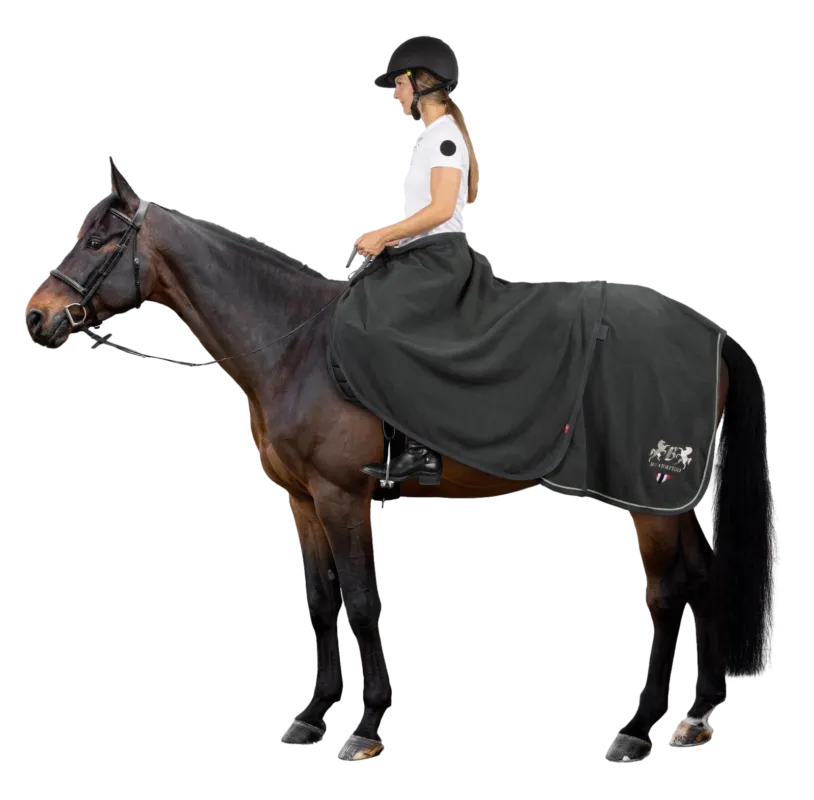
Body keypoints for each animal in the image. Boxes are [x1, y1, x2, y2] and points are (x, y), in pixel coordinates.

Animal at [24, 160, 774, 763]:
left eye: (100, 238)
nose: (36, 314)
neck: (295, 347)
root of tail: (707, 330)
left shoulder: (342, 496)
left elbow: (361, 605)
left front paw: (366, 725)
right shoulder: (302, 502)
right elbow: (321, 605)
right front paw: (313, 715)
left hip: (649, 502)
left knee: (667, 599)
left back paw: (638, 730)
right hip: (674, 501)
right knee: (703, 584)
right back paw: (697, 715)